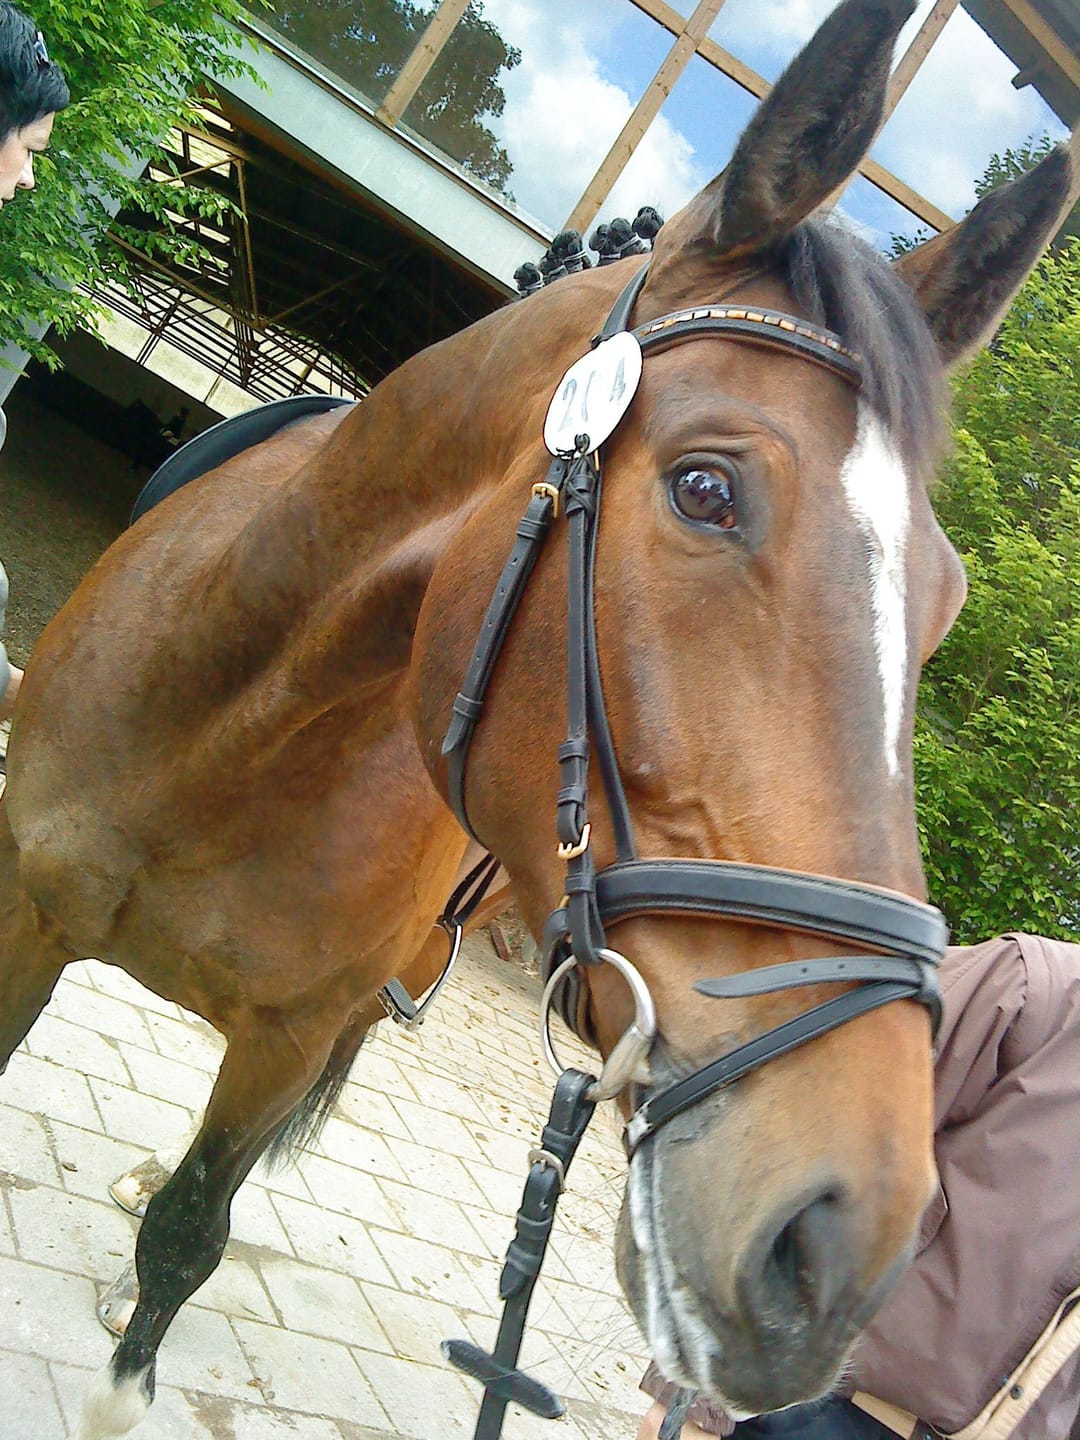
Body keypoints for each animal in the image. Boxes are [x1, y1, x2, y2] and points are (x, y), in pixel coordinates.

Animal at [2, 0, 1075, 1433]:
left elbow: (186, 1237)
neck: (232, 728)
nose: (841, 1243)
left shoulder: (288, 1037)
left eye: (945, 602)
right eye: (706, 490)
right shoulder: (20, 906)